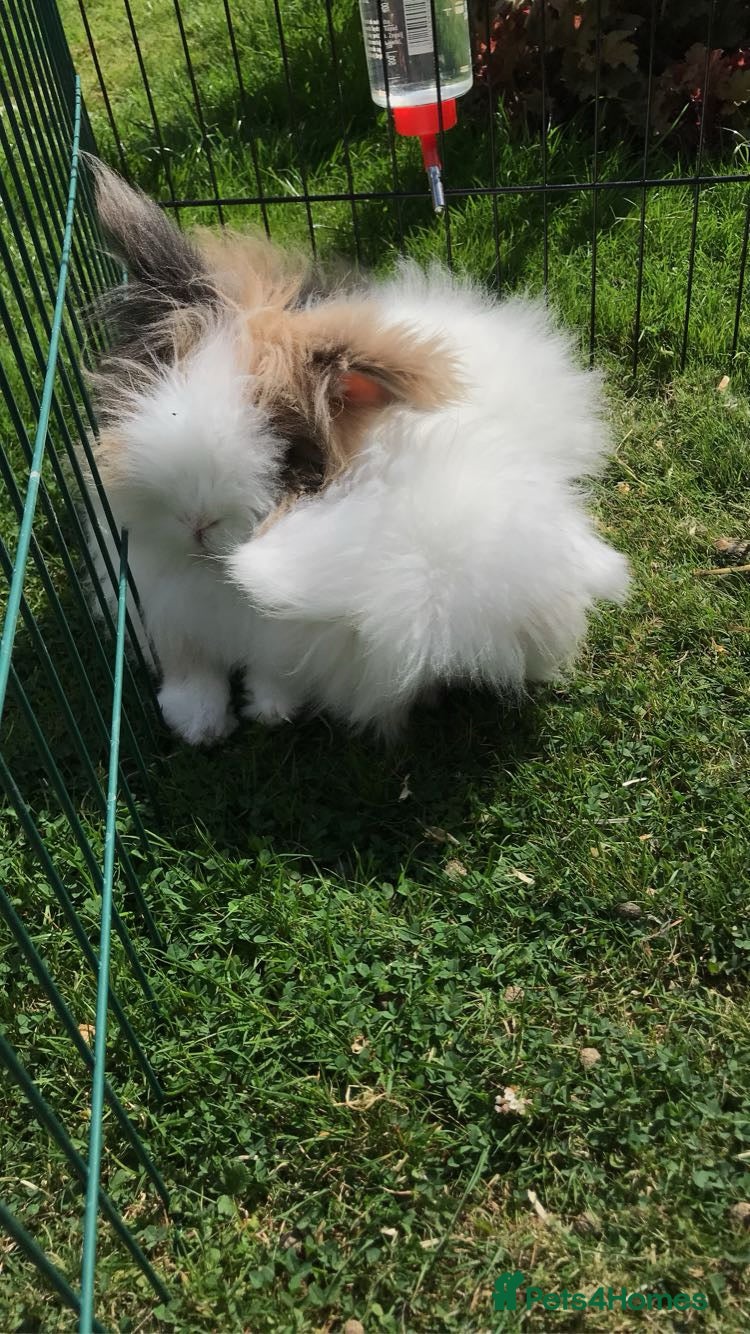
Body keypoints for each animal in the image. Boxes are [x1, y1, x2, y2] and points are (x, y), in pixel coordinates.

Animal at [83, 161, 457, 743]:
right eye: (155, 391)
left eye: (284, 453)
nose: (197, 520)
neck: (212, 576)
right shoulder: (162, 601)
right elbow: (191, 666)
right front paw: (198, 723)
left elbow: (274, 670)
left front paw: (269, 710)